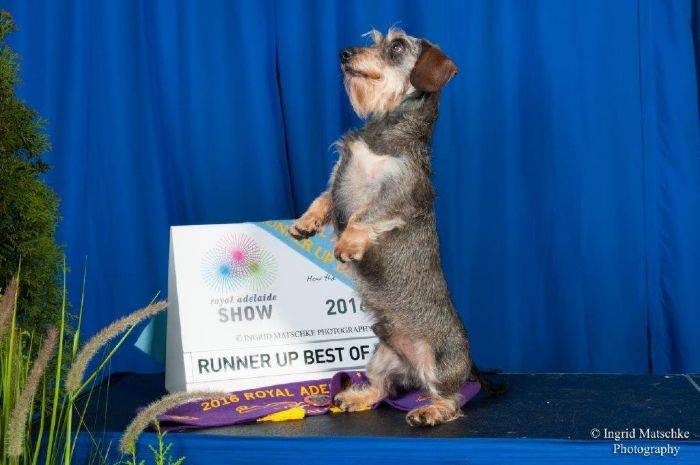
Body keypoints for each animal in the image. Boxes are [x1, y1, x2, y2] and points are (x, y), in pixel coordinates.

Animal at [289, 28, 494, 426]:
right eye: (374, 39)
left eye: (397, 45)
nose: (344, 53)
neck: (385, 130)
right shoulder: (337, 180)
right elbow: (323, 200)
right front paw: (305, 223)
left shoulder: (396, 194)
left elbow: (363, 217)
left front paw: (347, 244)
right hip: (382, 357)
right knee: (382, 388)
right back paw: (354, 396)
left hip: (438, 363)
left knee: (452, 399)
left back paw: (429, 411)